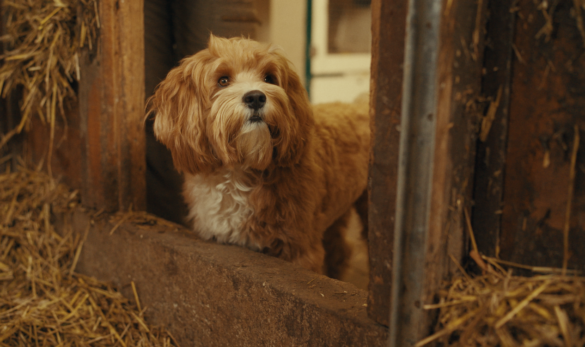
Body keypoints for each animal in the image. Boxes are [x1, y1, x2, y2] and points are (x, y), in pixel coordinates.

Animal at [149, 35, 370, 278]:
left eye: (269, 78)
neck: (240, 170)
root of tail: (361, 105)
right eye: (223, 80)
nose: (255, 97)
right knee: (341, 250)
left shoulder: (299, 249)